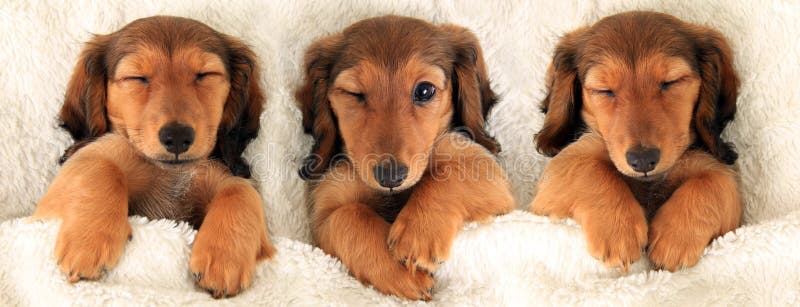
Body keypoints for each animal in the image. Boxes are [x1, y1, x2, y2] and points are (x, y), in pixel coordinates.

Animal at [33, 16, 276, 298]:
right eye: (136, 78)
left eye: (205, 75)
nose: (177, 137)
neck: (169, 172)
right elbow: (101, 166)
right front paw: (88, 242)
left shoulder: (225, 175)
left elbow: (241, 191)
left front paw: (223, 258)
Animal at [296, 15, 516, 302]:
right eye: (355, 94)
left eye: (424, 91)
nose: (391, 177)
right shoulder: (323, 213)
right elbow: (349, 214)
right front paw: (400, 272)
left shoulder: (488, 173)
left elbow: (451, 171)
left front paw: (417, 235)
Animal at [528, 10, 740, 274]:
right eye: (604, 90)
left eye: (671, 82)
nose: (643, 160)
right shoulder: (557, 177)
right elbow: (590, 167)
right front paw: (619, 230)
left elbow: (714, 182)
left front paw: (675, 239)